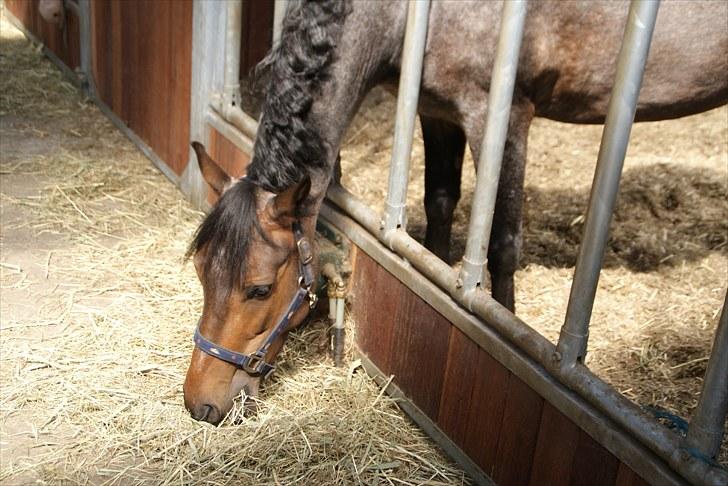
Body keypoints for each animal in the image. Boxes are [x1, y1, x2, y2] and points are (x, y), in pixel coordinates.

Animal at [183, 0, 728, 424]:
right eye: (201, 273)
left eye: (259, 289)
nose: (200, 405)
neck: (406, 17)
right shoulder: (436, 112)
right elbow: (440, 204)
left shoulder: (504, 118)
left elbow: (502, 241)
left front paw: (510, 325)